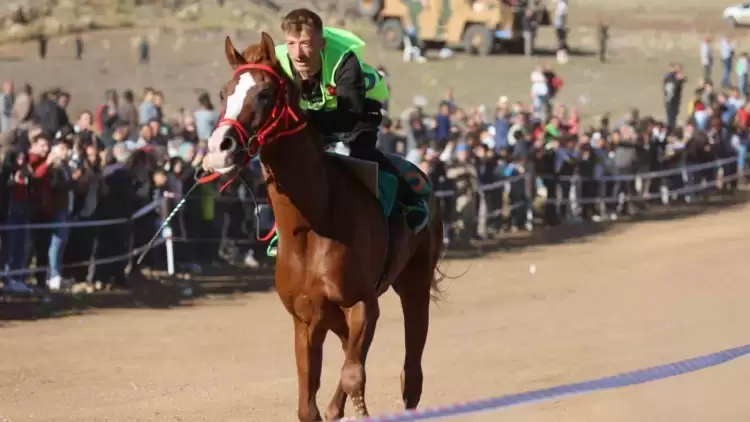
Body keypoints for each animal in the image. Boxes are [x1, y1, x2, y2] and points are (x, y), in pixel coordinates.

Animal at [201, 31, 446, 420]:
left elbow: (353, 374)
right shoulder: (305, 317)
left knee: (411, 369)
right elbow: (310, 401)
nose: (219, 148)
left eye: (265, 94)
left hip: (415, 283)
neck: (313, 224)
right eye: (225, 93)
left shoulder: (362, 303)